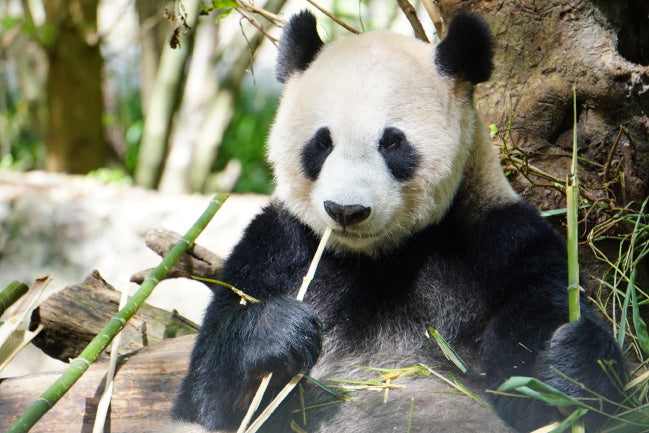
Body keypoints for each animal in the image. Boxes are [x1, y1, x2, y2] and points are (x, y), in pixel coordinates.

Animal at [170, 10, 627, 433]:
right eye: (322, 142)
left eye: (392, 143)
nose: (346, 210)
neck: (378, 257)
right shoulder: (275, 248)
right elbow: (208, 397)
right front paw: (279, 334)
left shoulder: (500, 242)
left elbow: (535, 382)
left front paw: (572, 362)